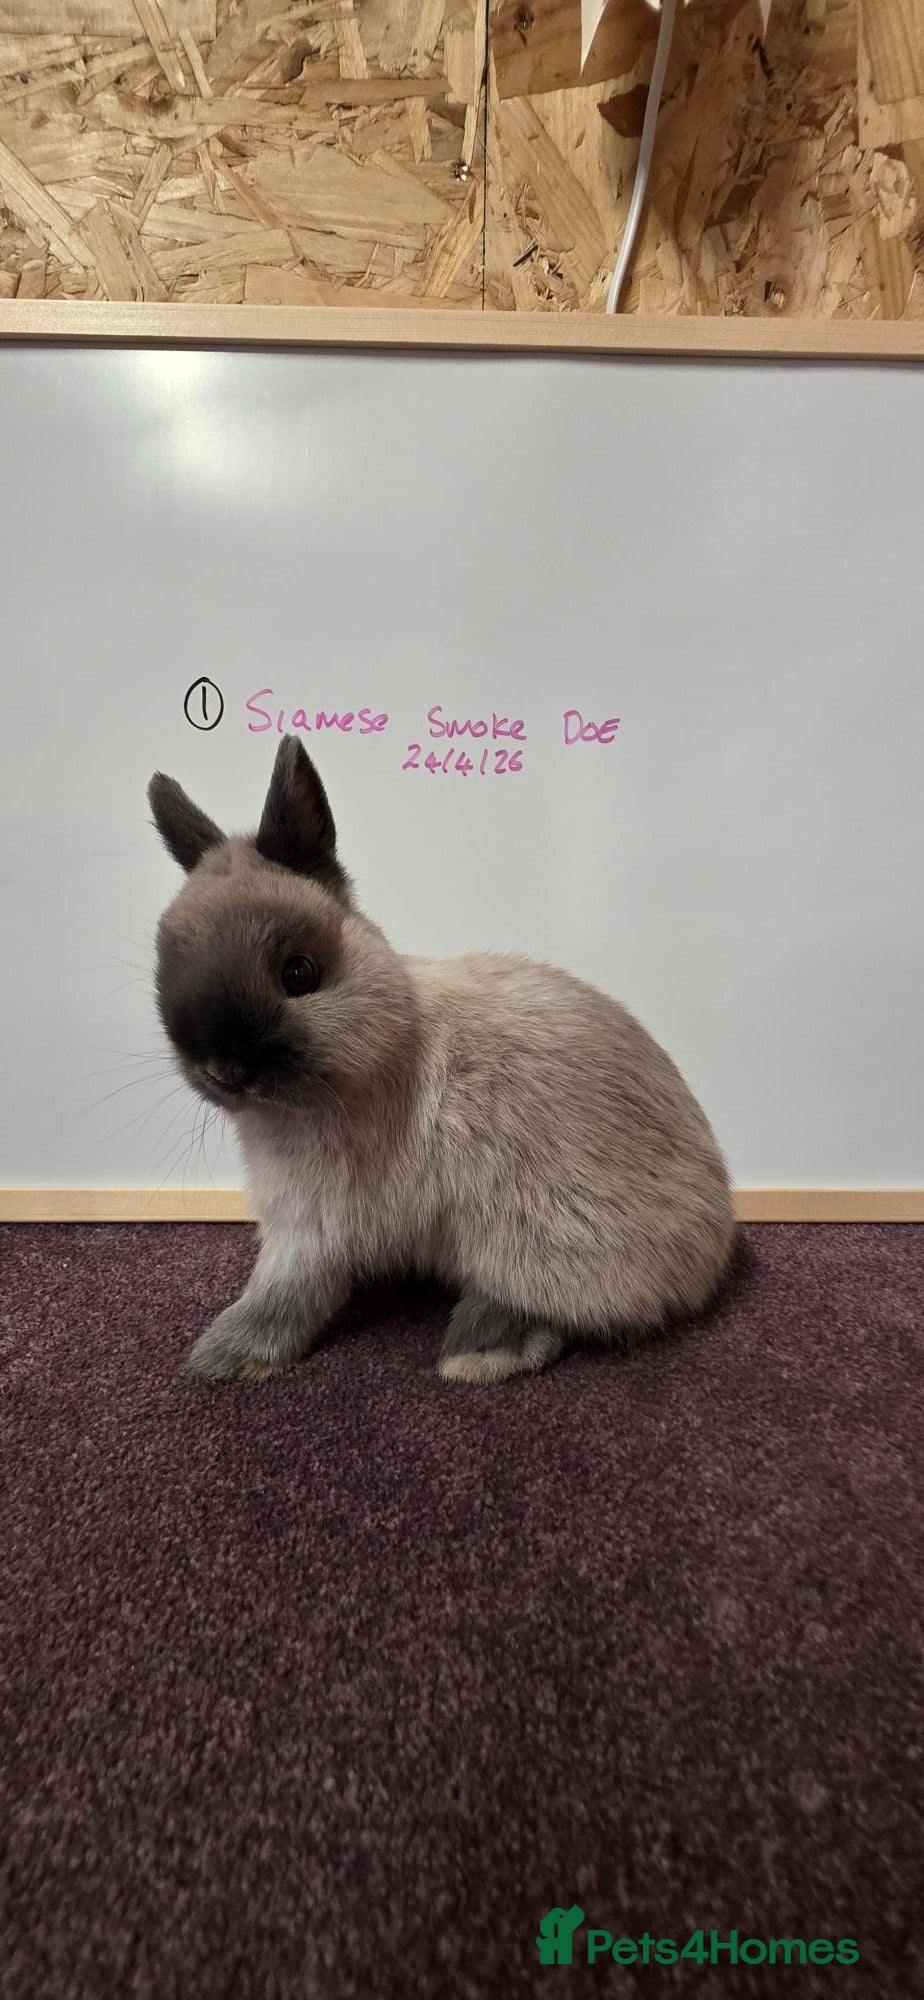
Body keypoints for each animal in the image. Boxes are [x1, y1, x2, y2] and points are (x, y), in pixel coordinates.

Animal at [148, 736, 735, 1386]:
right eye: (165, 964)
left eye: (298, 973)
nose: (224, 1069)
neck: (390, 1051)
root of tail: (713, 1248)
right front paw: (219, 1355)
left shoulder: (316, 1225)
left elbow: (287, 1291)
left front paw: (227, 1354)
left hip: (534, 1239)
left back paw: (480, 1349)